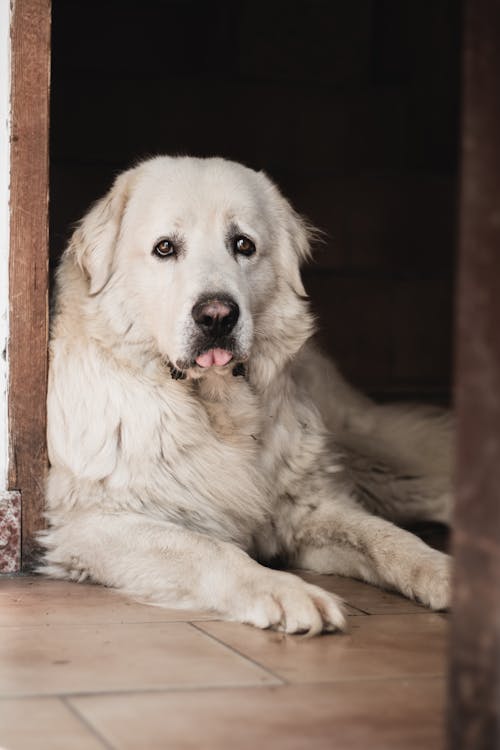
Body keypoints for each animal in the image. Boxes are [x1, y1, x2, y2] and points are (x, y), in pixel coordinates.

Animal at [41, 156, 452, 636]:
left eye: (243, 244)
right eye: (165, 248)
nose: (217, 316)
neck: (215, 409)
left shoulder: (309, 507)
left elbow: (388, 538)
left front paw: (446, 574)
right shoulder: (95, 524)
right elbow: (209, 549)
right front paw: (286, 592)